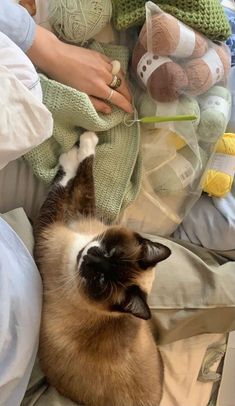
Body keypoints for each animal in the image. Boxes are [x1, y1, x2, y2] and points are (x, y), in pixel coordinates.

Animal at [34, 132, 171, 406]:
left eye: (99, 279)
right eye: (110, 252)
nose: (90, 258)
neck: (78, 242)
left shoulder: (49, 226)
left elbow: (68, 179)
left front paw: (80, 145)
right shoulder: (83, 214)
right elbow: (83, 182)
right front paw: (85, 143)